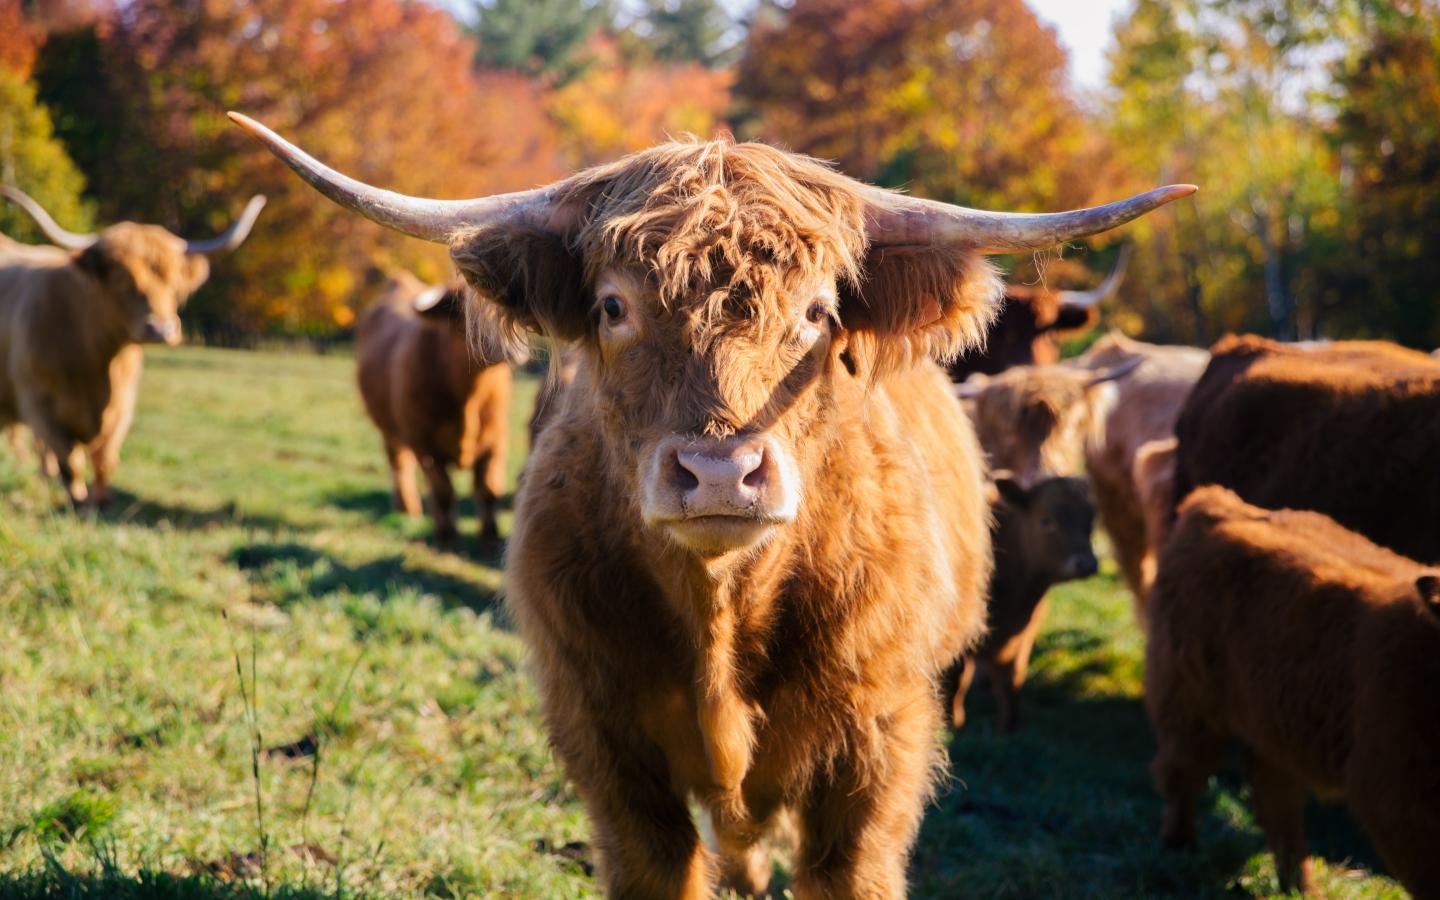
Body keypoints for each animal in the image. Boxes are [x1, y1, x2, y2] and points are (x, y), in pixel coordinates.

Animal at [0, 186, 264, 507]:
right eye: (122, 279)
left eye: (174, 281)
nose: (161, 329)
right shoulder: (39, 405)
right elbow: (71, 464)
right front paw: (79, 505)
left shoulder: (122, 407)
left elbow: (105, 461)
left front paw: (102, 503)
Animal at [355, 271, 513, 552]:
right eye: (464, 313)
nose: (511, 350)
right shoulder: (425, 445)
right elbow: (443, 491)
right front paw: (448, 537)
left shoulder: (496, 440)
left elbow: (488, 489)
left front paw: (491, 539)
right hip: (390, 431)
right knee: (401, 466)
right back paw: (408, 511)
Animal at [947, 476, 1098, 734]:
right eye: (1046, 520)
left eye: (1090, 520)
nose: (1087, 564)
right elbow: (956, 685)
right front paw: (953, 725)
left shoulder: (1023, 633)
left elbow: (1013, 679)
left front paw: (1009, 728)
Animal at [1146, 486, 1440, 897]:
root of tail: (1218, 501)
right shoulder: (1397, 799)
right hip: (1188, 700)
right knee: (1181, 774)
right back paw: (1180, 847)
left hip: (1270, 719)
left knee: (1274, 794)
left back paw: (1298, 887)